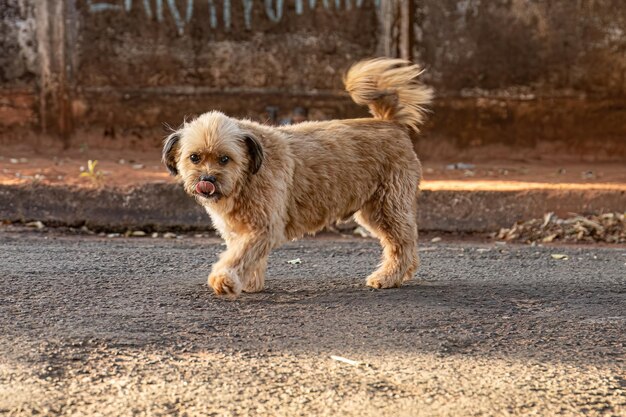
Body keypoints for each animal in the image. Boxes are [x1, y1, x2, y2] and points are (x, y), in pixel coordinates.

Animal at [161, 58, 432, 298]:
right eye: (195, 158)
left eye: (225, 159)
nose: (207, 179)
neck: (247, 176)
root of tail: (390, 123)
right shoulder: (242, 230)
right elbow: (249, 257)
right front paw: (249, 282)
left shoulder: (262, 228)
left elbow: (238, 256)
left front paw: (224, 279)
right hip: (373, 211)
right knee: (405, 243)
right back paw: (403, 274)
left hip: (388, 206)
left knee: (402, 244)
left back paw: (388, 277)